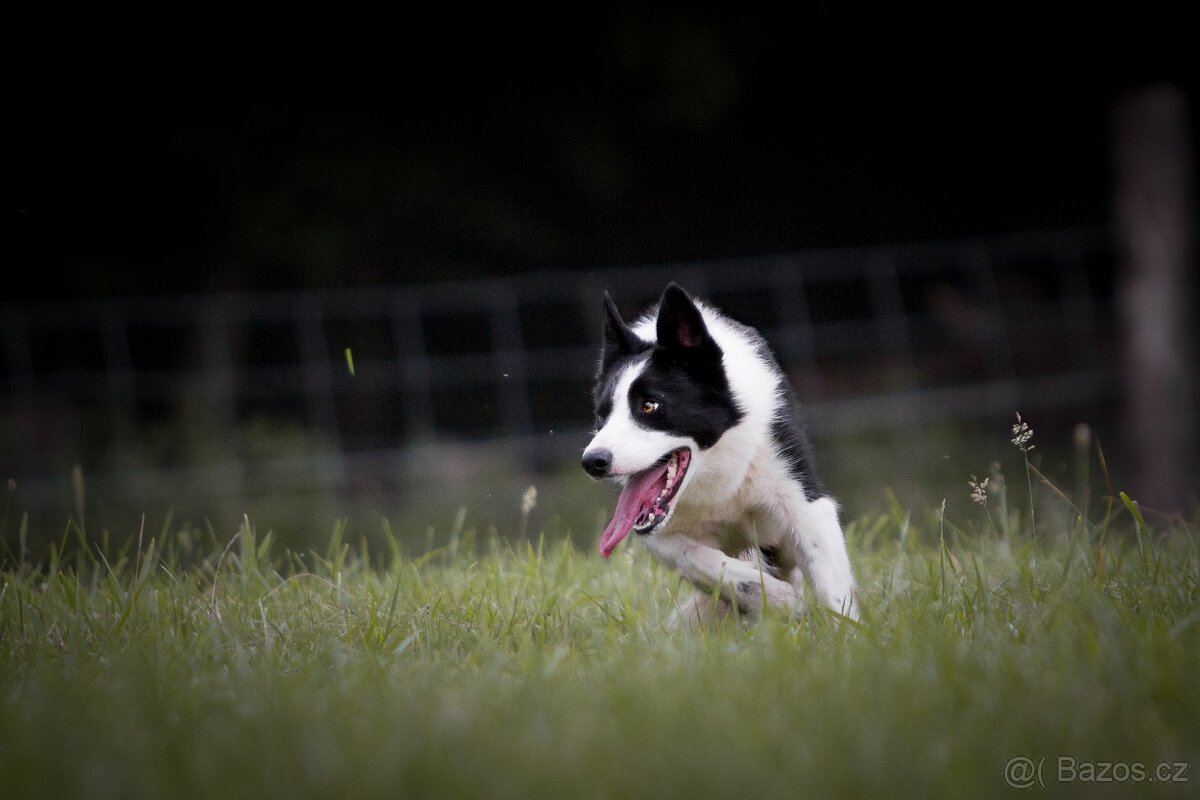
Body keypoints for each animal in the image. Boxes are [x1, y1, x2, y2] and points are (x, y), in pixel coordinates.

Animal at [583, 281, 859, 623]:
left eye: (649, 406)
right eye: (602, 415)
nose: (592, 461)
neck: (718, 469)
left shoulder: (805, 504)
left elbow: (832, 588)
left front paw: (846, 632)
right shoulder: (661, 534)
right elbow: (698, 560)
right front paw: (776, 598)